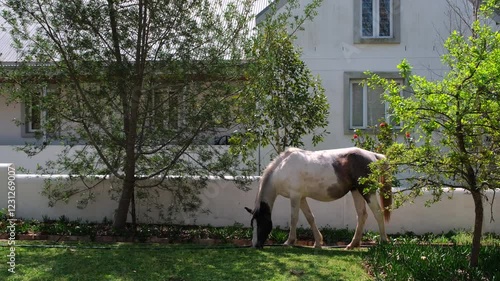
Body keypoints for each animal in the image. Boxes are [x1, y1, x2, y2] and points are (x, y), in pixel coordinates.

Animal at [244, 147, 392, 247]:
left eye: (261, 222)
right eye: (252, 224)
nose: (255, 245)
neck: (282, 169)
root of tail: (372, 155)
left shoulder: (295, 196)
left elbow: (294, 218)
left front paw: (289, 241)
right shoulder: (301, 198)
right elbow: (310, 217)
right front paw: (318, 242)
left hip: (367, 192)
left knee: (378, 213)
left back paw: (384, 241)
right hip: (356, 191)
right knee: (361, 215)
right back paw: (352, 244)